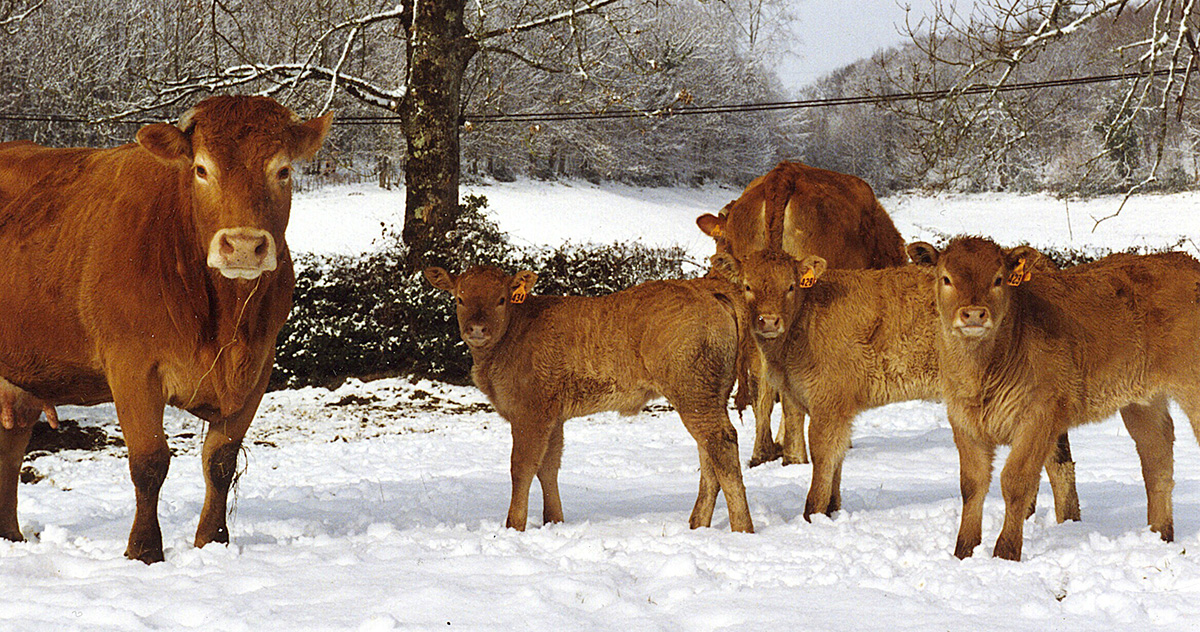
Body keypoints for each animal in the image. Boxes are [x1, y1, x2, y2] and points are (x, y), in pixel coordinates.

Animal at [0, 95, 331, 563]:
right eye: (201, 169)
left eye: (282, 170)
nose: (243, 245)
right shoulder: (132, 367)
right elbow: (150, 461)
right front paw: (143, 550)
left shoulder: (258, 369)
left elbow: (221, 460)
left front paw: (213, 541)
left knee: (9, 453)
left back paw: (10, 536)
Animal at [427, 266, 753, 534]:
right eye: (459, 298)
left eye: (502, 299)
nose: (477, 329)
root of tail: (703, 286)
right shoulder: (554, 417)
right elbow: (548, 467)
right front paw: (554, 521)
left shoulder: (531, 412)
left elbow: (522, 466)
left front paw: (513, 526)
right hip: (707, 393)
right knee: (708, 451)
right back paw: (698, 525)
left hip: (692, 391)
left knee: (721, 442)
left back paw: (742, 528)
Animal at [724, 249, 1084, 527]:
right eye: (747, 287)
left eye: (790, 286)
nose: (769, 321)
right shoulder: (836, 408)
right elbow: (837, 461)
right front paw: (832, 511)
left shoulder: (830, 403)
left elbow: (824, 459)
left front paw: (812, 516)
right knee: (1059, 461)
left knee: (1056, 464)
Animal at [907, 238, 1200, 563]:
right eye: (946, 278)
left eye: (998, 279)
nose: (973, 314)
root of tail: (1186, 262)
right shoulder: (963, 420)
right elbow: (972, 484)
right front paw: (964, 553)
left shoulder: (1039, 417)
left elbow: (1016, 481)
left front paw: (1005, 554)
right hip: (1142, 402)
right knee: (1157, 457)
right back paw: (1160, 535)